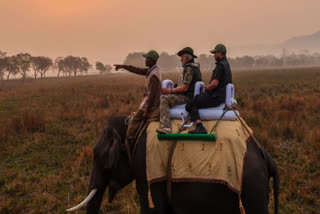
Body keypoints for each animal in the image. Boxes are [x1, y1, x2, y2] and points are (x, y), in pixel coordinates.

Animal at [68, 115, 280, 214]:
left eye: (98, 156)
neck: (132, 126)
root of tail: (266, 156)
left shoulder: (145, 166)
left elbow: (152, 209)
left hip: (251, 190)